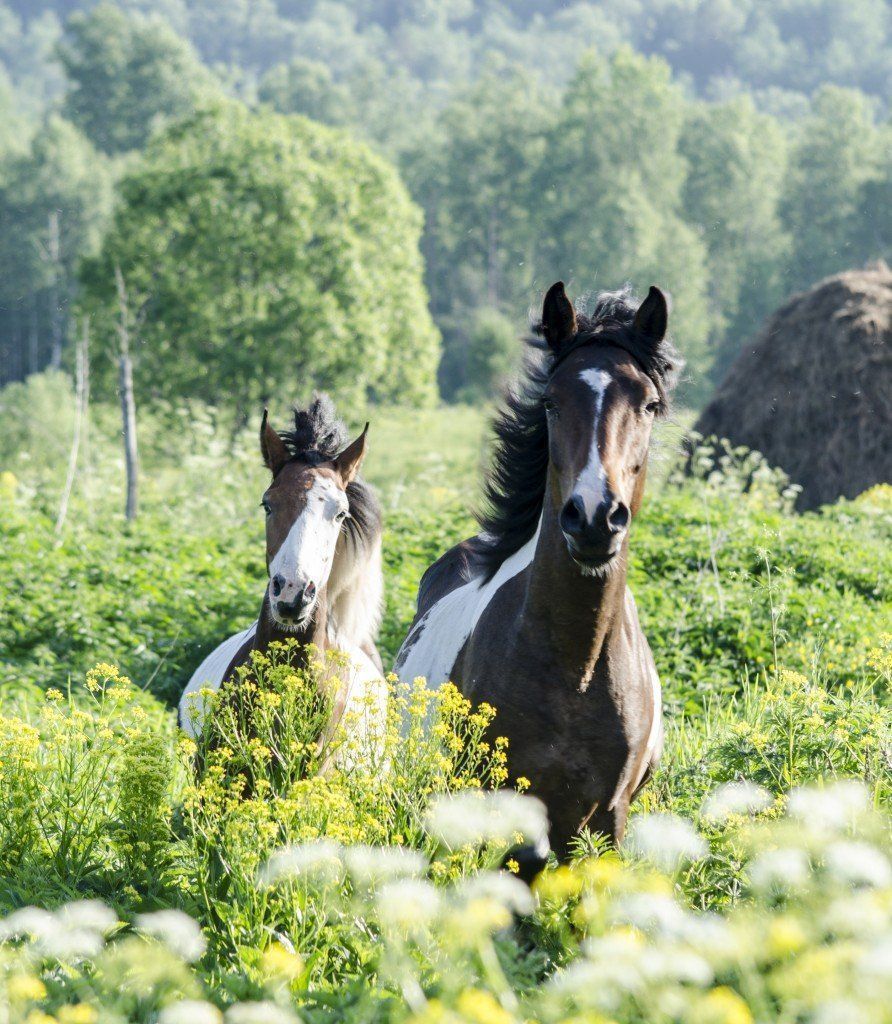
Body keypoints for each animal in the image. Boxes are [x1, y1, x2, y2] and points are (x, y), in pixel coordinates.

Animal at [393, 284, 680, 860]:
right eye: (551, 401)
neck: (577, 664)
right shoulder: (515, 817)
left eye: (649, 404)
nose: (594, 517)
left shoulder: (608, 820)